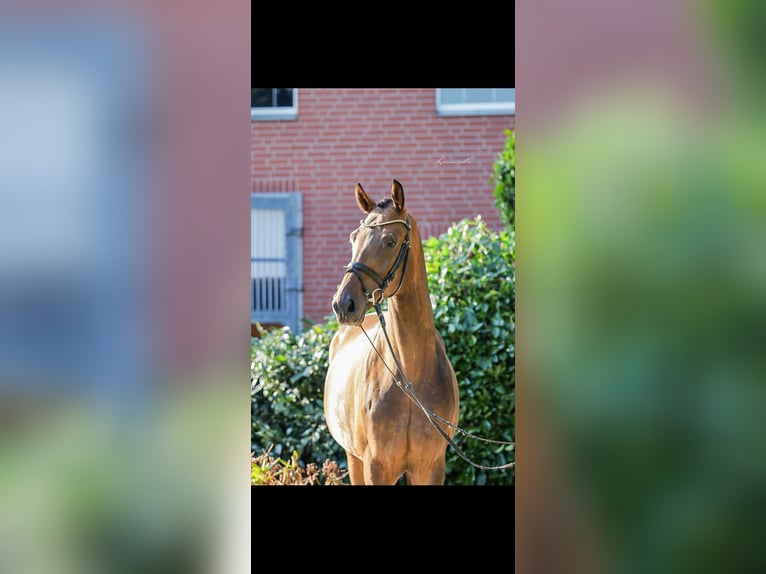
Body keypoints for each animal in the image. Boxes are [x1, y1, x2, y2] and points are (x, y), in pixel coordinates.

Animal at [324, 179, 460, 485]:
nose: (343, 304)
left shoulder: (430, 467)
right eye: (353, 238)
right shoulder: (376, 466)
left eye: (390, 241)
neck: (412, 376)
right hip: (354, 459)